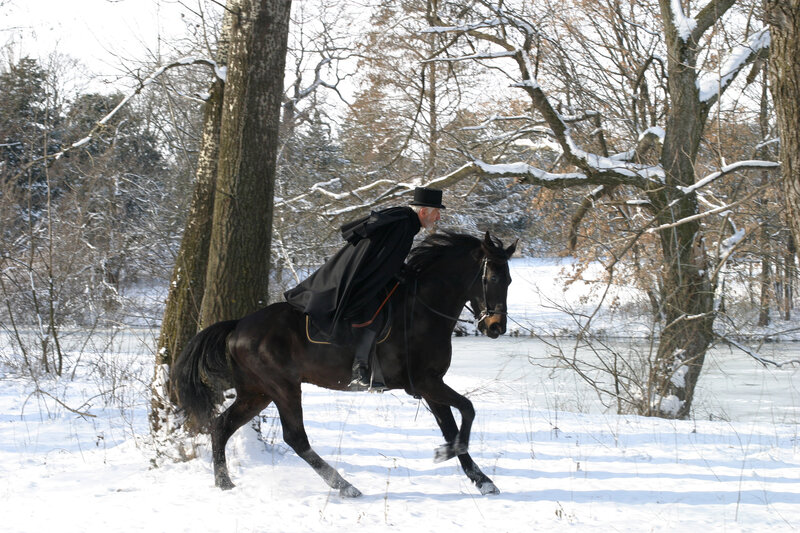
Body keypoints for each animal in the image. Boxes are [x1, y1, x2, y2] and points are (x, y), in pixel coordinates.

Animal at [171, 231, 516, 497]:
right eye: (493, 277)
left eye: (510, 279)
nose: (496, 327)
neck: (423, 309)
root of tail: (238, 325)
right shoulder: (427, 383)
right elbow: (468, 409)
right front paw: (453, 456)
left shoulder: (430, 386)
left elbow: (451, 425)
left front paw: (480, 479)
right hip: (282, 388)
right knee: (295, 438)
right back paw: (345, 485)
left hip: (257, 393)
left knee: (221, 426)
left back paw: (224, 483)